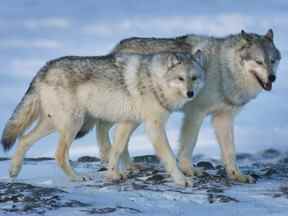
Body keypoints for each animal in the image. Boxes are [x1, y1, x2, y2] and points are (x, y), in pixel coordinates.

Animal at [1, 51, 206, 186]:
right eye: (180, 78)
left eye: (194, 78)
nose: (190, 93)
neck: (154, 81)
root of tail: (44, 69)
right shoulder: (154, 126)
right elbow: (170, 157)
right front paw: (182, 180)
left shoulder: (127, 123)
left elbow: (116, 150)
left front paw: (113, 175)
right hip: (73, 124)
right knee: (58, 154)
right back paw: (76, 178)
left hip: (54, 123)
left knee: (24, 139)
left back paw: (13, 171)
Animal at [94, 29, 282, 183]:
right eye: (259, 61)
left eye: (272, 61)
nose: (272, 78)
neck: (224, 70)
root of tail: (118, 47)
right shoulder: (195, 113)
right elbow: (189, 143)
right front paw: (188, 170)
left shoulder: (224, 118)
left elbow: (230, 151)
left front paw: (236, 175)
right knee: (103, 127)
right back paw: (108, 157)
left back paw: (128, 165)